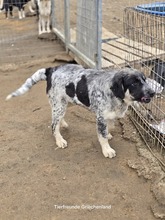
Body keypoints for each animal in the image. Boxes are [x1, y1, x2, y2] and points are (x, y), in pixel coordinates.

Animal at [5, 63, 155, 158]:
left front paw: (108, 135)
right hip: (59, 104)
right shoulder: (100, 117)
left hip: (63, 103)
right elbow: (102, 136)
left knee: (56, 119)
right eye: (134, 83)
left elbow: (108, 129)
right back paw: (59, 140)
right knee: (53, 125)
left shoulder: (108, 116)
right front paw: (107, 150)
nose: (153, 93)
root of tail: (51, 69)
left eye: (145, 80)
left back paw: (63, 124)